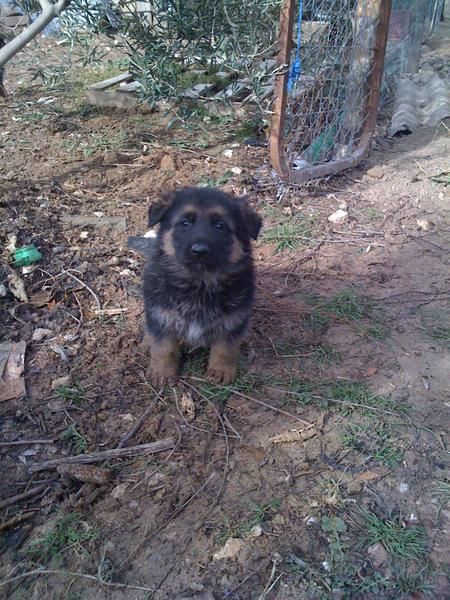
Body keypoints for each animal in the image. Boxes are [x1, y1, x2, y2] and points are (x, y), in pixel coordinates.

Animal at [142, 185, 262, 386]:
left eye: (220, 226)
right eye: (185, 223)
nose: (199, 251)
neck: (199, 282)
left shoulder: (232, 320)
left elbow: (225, 348)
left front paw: (221, 370)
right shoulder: (161, 315)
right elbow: (163, 347)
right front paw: (162, 372)